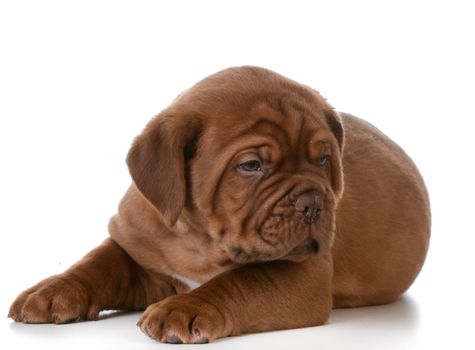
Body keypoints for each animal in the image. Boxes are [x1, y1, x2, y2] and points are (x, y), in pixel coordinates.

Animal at [8, 67, 432, 344]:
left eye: (324, 159)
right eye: (251, 165)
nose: (313, 204)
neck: (198, 242)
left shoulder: (303, 272)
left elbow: (240, 281)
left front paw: (182, 308)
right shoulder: (135, 246)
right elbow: (98, 264)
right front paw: (50, 292)